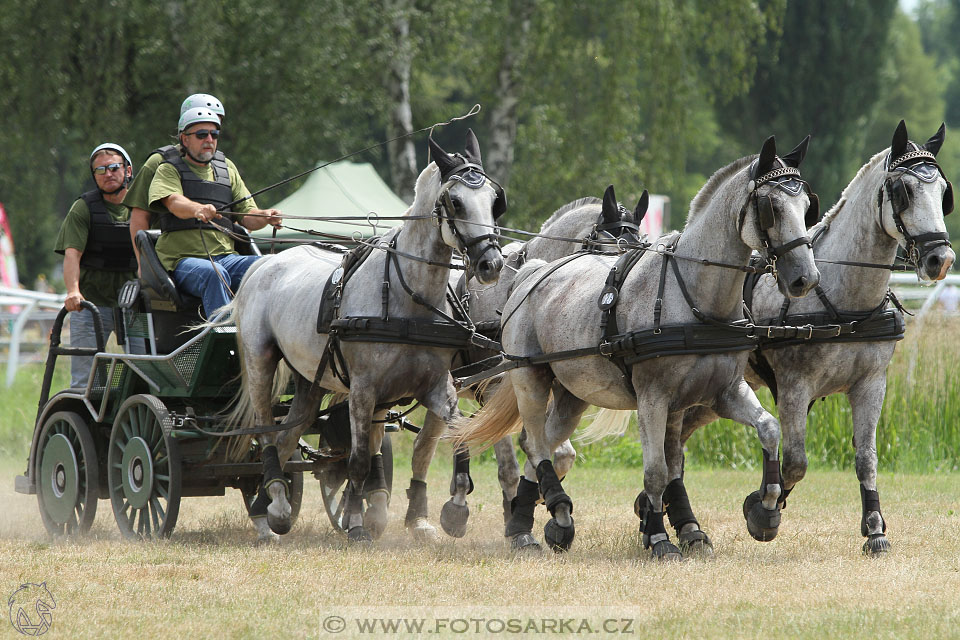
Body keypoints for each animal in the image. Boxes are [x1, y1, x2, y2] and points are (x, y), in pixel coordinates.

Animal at [222, 130, 506, 540]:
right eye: (455, 201)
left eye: (495, 201)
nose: (491, 264)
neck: (409, 299)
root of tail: (265, 263)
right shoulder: (363, 389)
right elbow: (356, 461)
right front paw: (356, 523)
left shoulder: (436, 385)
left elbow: (458, 435)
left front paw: (452, 512)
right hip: (260, 360)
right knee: (265, 432)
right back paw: (273, 505)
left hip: (311, 381)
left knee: (289, 433)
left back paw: (268, 509)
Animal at [454, 138, 820, 556]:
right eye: (771, 206)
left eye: (806, 205)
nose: (805, 278)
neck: (694, 296)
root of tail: (531, 274)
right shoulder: (653, 397)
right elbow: (657, 470)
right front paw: (660, 537)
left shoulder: (720, 393)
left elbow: (766, 430)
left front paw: (761, 510)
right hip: (529, 377)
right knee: (535, 444)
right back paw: (533, 522)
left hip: (571, 396)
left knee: (546, 443)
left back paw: (542, 522)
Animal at [680, 121, 956, 556]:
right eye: (903, 191)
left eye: (943, 192)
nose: (940, 260)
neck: (844, 301)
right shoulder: (795, 387)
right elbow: (796, 462)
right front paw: (762, 510)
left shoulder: (871, 384)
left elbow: (866, 458)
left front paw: (875, 529)